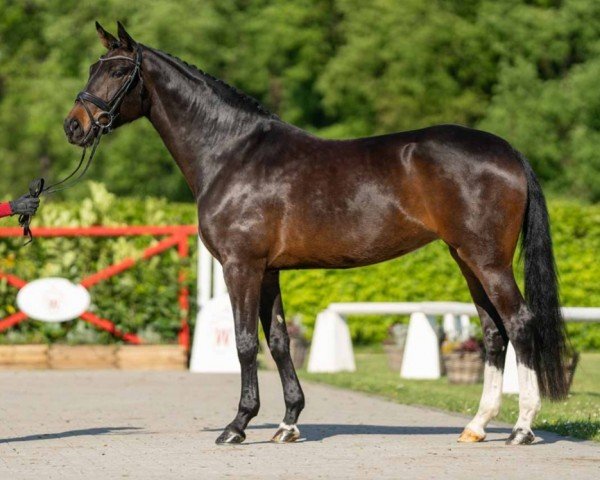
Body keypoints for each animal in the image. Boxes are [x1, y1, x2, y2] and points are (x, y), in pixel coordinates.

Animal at [64, 23, 568, 446]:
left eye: (118, 71)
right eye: (93, 68)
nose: (74, 126)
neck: (231, 152)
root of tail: (508, 151)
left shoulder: (241, 266)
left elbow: (245, 342)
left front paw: (237, 425)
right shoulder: (268, 271)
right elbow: (279, 341)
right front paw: (288, 422)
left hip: (487, 261)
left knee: (520, 323)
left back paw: (522, 428)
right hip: (466, 259)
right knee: (493, 333)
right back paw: (477, 426)